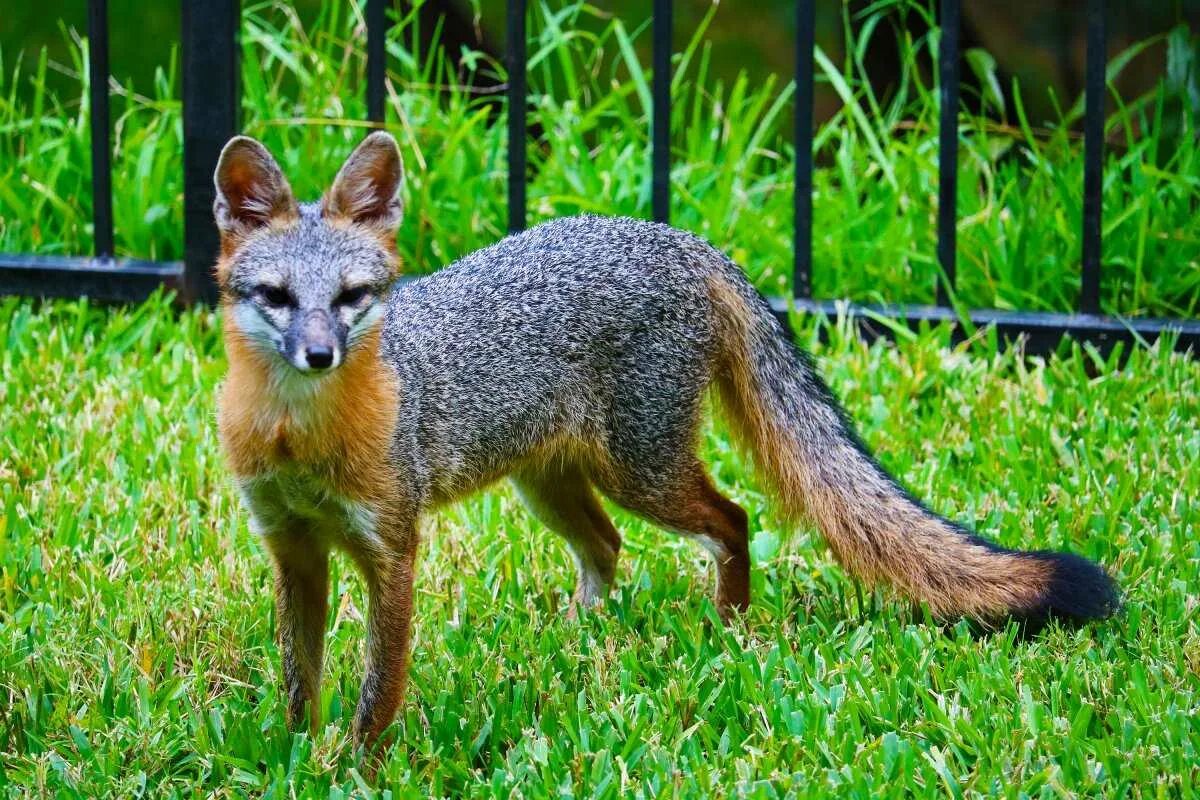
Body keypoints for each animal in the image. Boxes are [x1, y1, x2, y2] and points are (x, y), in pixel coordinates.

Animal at [211, 131, 1118, 753]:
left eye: (354, 297)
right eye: (277, 298)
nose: (319, 354)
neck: (298, 437)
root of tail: (679, 237)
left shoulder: (392, 548)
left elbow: (378, 688)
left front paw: (356, 766)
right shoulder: (294, 550)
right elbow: (301, 681)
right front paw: (297, 754)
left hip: (641, 471)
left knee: (734, 519)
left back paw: (729, 632)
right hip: (555, 485)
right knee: (608, 547)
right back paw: (582, 638)